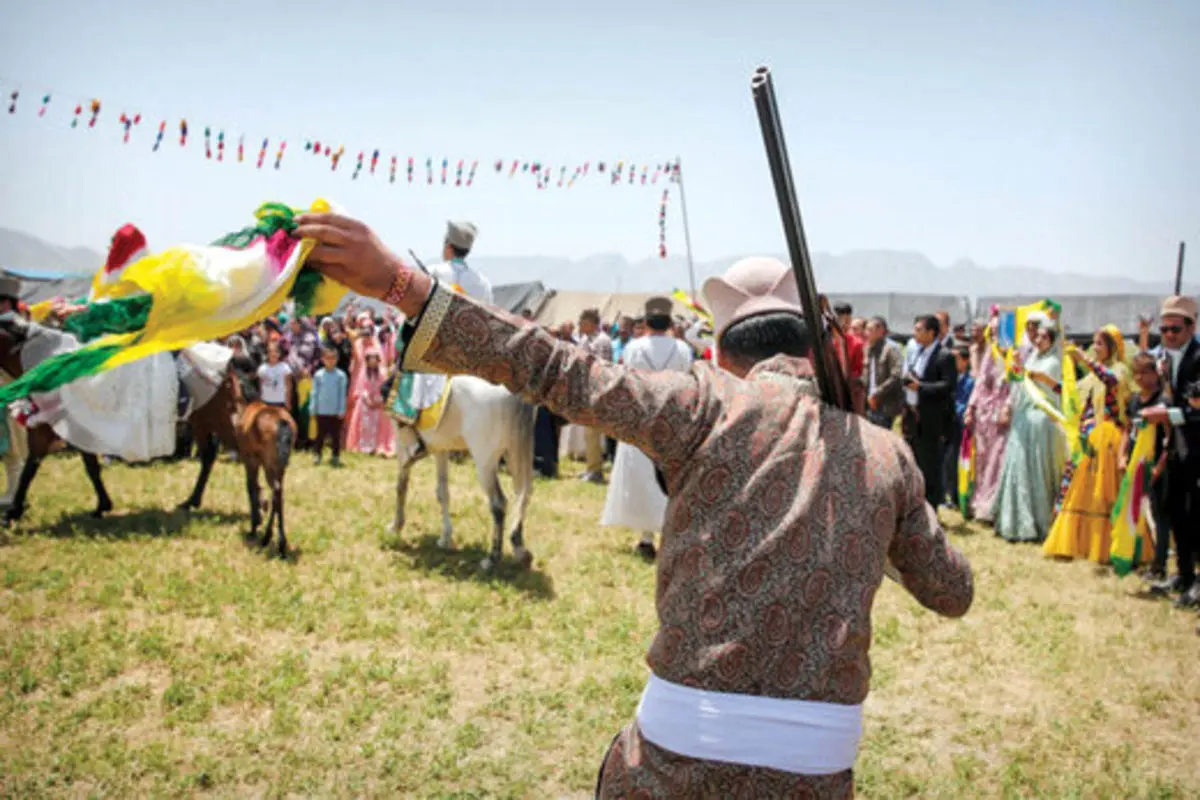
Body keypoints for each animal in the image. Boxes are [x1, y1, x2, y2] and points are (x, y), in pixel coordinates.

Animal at [0, 319, 290, 551]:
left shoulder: (51, 429)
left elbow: (31, 468)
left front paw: (12, 511)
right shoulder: (77, 430)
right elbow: (87, 467)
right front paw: (102, 504)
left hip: (220, 418)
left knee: (242, 454)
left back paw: (258, 511)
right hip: (201, 419)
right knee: (209, 456)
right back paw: (195, 501)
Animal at [391, 379, 537, 573]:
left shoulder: (402, 441)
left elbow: (401, 485)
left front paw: (396, 526)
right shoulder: (440, 449)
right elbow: (442, 492)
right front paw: (445, 538)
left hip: (485, 461)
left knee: (499, 504)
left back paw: (491, 560)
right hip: (516, 454)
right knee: (523, 496)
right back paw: (521, 551)